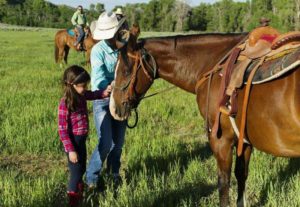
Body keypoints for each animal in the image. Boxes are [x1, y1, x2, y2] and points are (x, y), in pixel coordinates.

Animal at [110, 26, 300, 207]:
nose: (114, 108)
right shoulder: (243, 139)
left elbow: (223, 183)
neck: (213, 65)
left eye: (126, 71)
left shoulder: (221, 139)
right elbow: (241, 176)